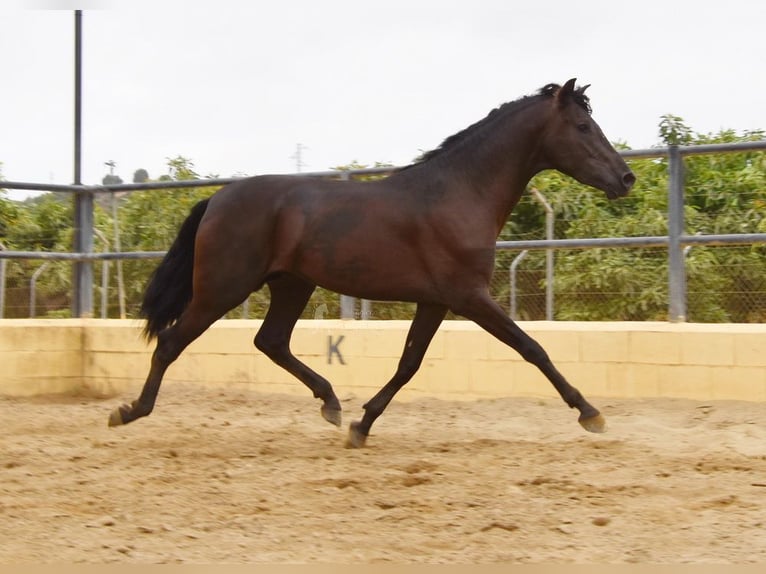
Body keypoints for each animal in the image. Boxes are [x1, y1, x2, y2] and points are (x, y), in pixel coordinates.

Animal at [108, 80, 636, 450]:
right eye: (583, 127)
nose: (626, 178)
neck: (459, 193)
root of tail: (216, 199)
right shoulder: (469, 296)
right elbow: (533, 349)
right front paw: (591, 413)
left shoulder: (435, 301)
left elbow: (408, 364)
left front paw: (361, 425)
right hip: (223, 287)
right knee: (171, 342)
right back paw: (129, 411)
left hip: (291, 284)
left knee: (271, 341)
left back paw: (331, 404)